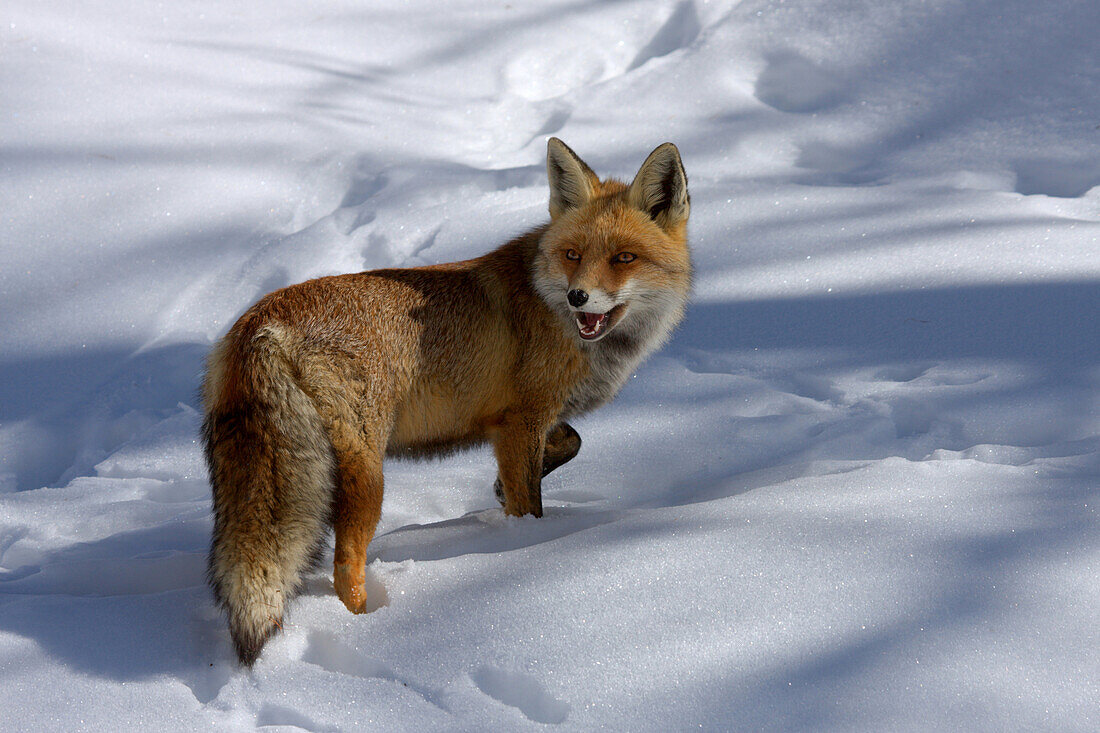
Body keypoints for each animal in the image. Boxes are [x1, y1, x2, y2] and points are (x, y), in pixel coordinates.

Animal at [202, 137, 690, 660]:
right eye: (573, 255)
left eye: (624, 258)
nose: (578, 297)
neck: (553, 311)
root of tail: (262, 323)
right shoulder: (523, 420)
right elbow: (530, 503)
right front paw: (527, 540)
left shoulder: (513, 422)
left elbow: (569, 442)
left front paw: (500, 489)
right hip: (366, 475)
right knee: (346, 563)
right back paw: (366, 631)